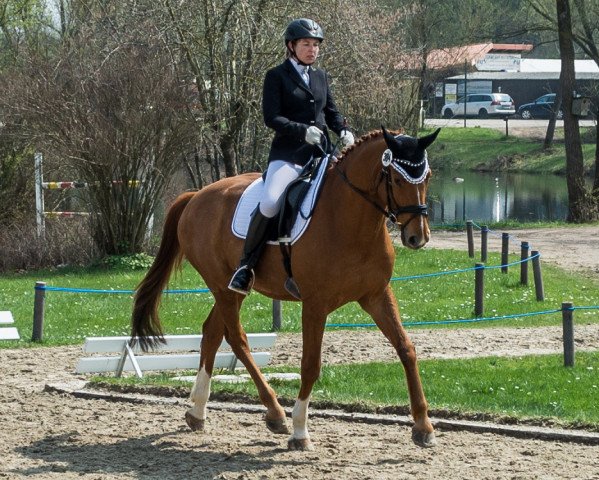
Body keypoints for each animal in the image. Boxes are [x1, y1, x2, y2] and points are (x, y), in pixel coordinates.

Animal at [131, 126, 440, 450]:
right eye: (396, 179)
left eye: (427, 176)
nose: (418, 237)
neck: (351, 219)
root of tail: (196, 195)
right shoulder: (315, 304)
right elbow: (310, 364)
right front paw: (300, 431)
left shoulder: (376, 295)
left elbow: (406, 349)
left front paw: (423, 426)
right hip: (223, 286)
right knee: (236, 338)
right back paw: (275, 412)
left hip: (229, 289)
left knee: (212, 332)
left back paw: (197, 412)